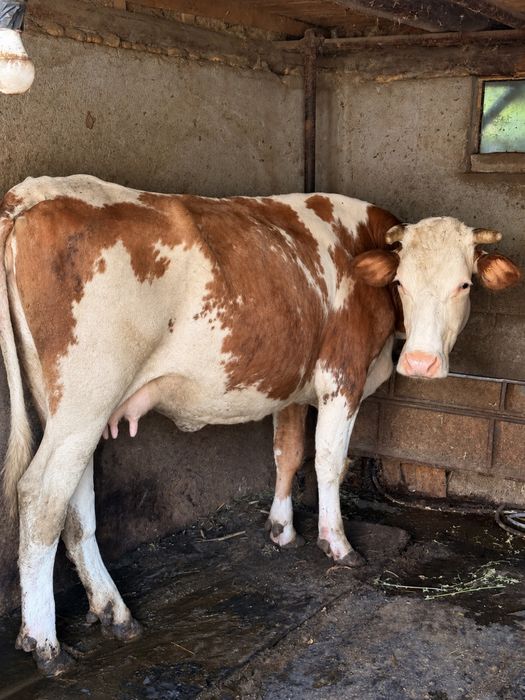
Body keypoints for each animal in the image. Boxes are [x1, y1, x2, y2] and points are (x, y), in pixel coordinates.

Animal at [0, 175, 519, 675]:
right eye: (402, 283)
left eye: (464, 285)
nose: (420, 363)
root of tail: (34, 192)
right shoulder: (342, 375)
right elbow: (329, 461)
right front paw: (336, 543)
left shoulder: (289, 386)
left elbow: (286, 453)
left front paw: (282, 530)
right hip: (87, 396)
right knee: (42, 495)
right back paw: (45, 643)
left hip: (68, 409)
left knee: (75, 501)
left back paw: (113, 611)